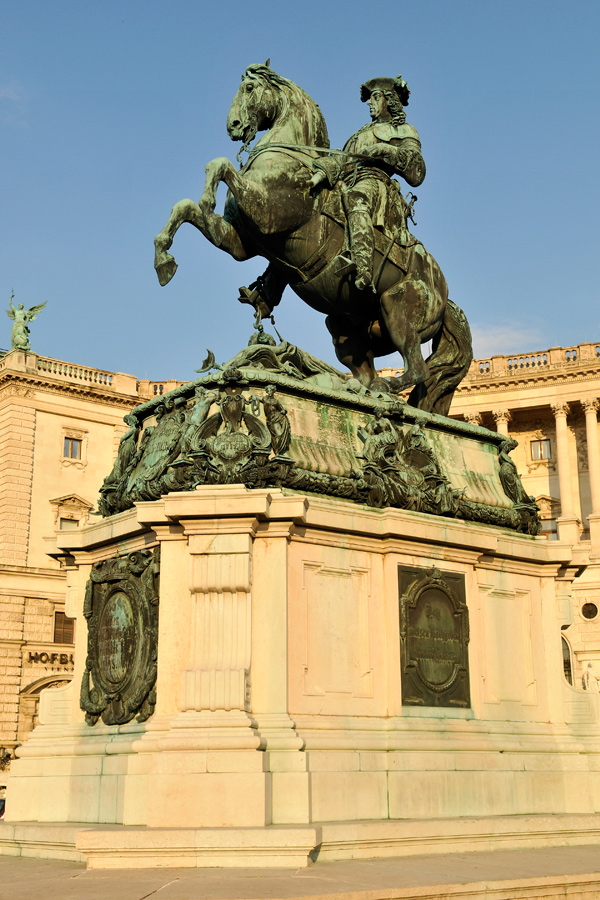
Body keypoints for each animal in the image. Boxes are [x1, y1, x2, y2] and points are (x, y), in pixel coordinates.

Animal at [152, 63, 472, 414]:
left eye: (249, 88)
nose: (233, 126)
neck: (290, 159)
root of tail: (444, 293)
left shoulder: (266, 212)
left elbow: (219, 166)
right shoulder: (241, 243)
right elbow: (185, 205)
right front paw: (163, 259)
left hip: (398, 309)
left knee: (417, 367)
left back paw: (384, 387)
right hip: (345, 327)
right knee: (367, 371)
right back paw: (353, 387)